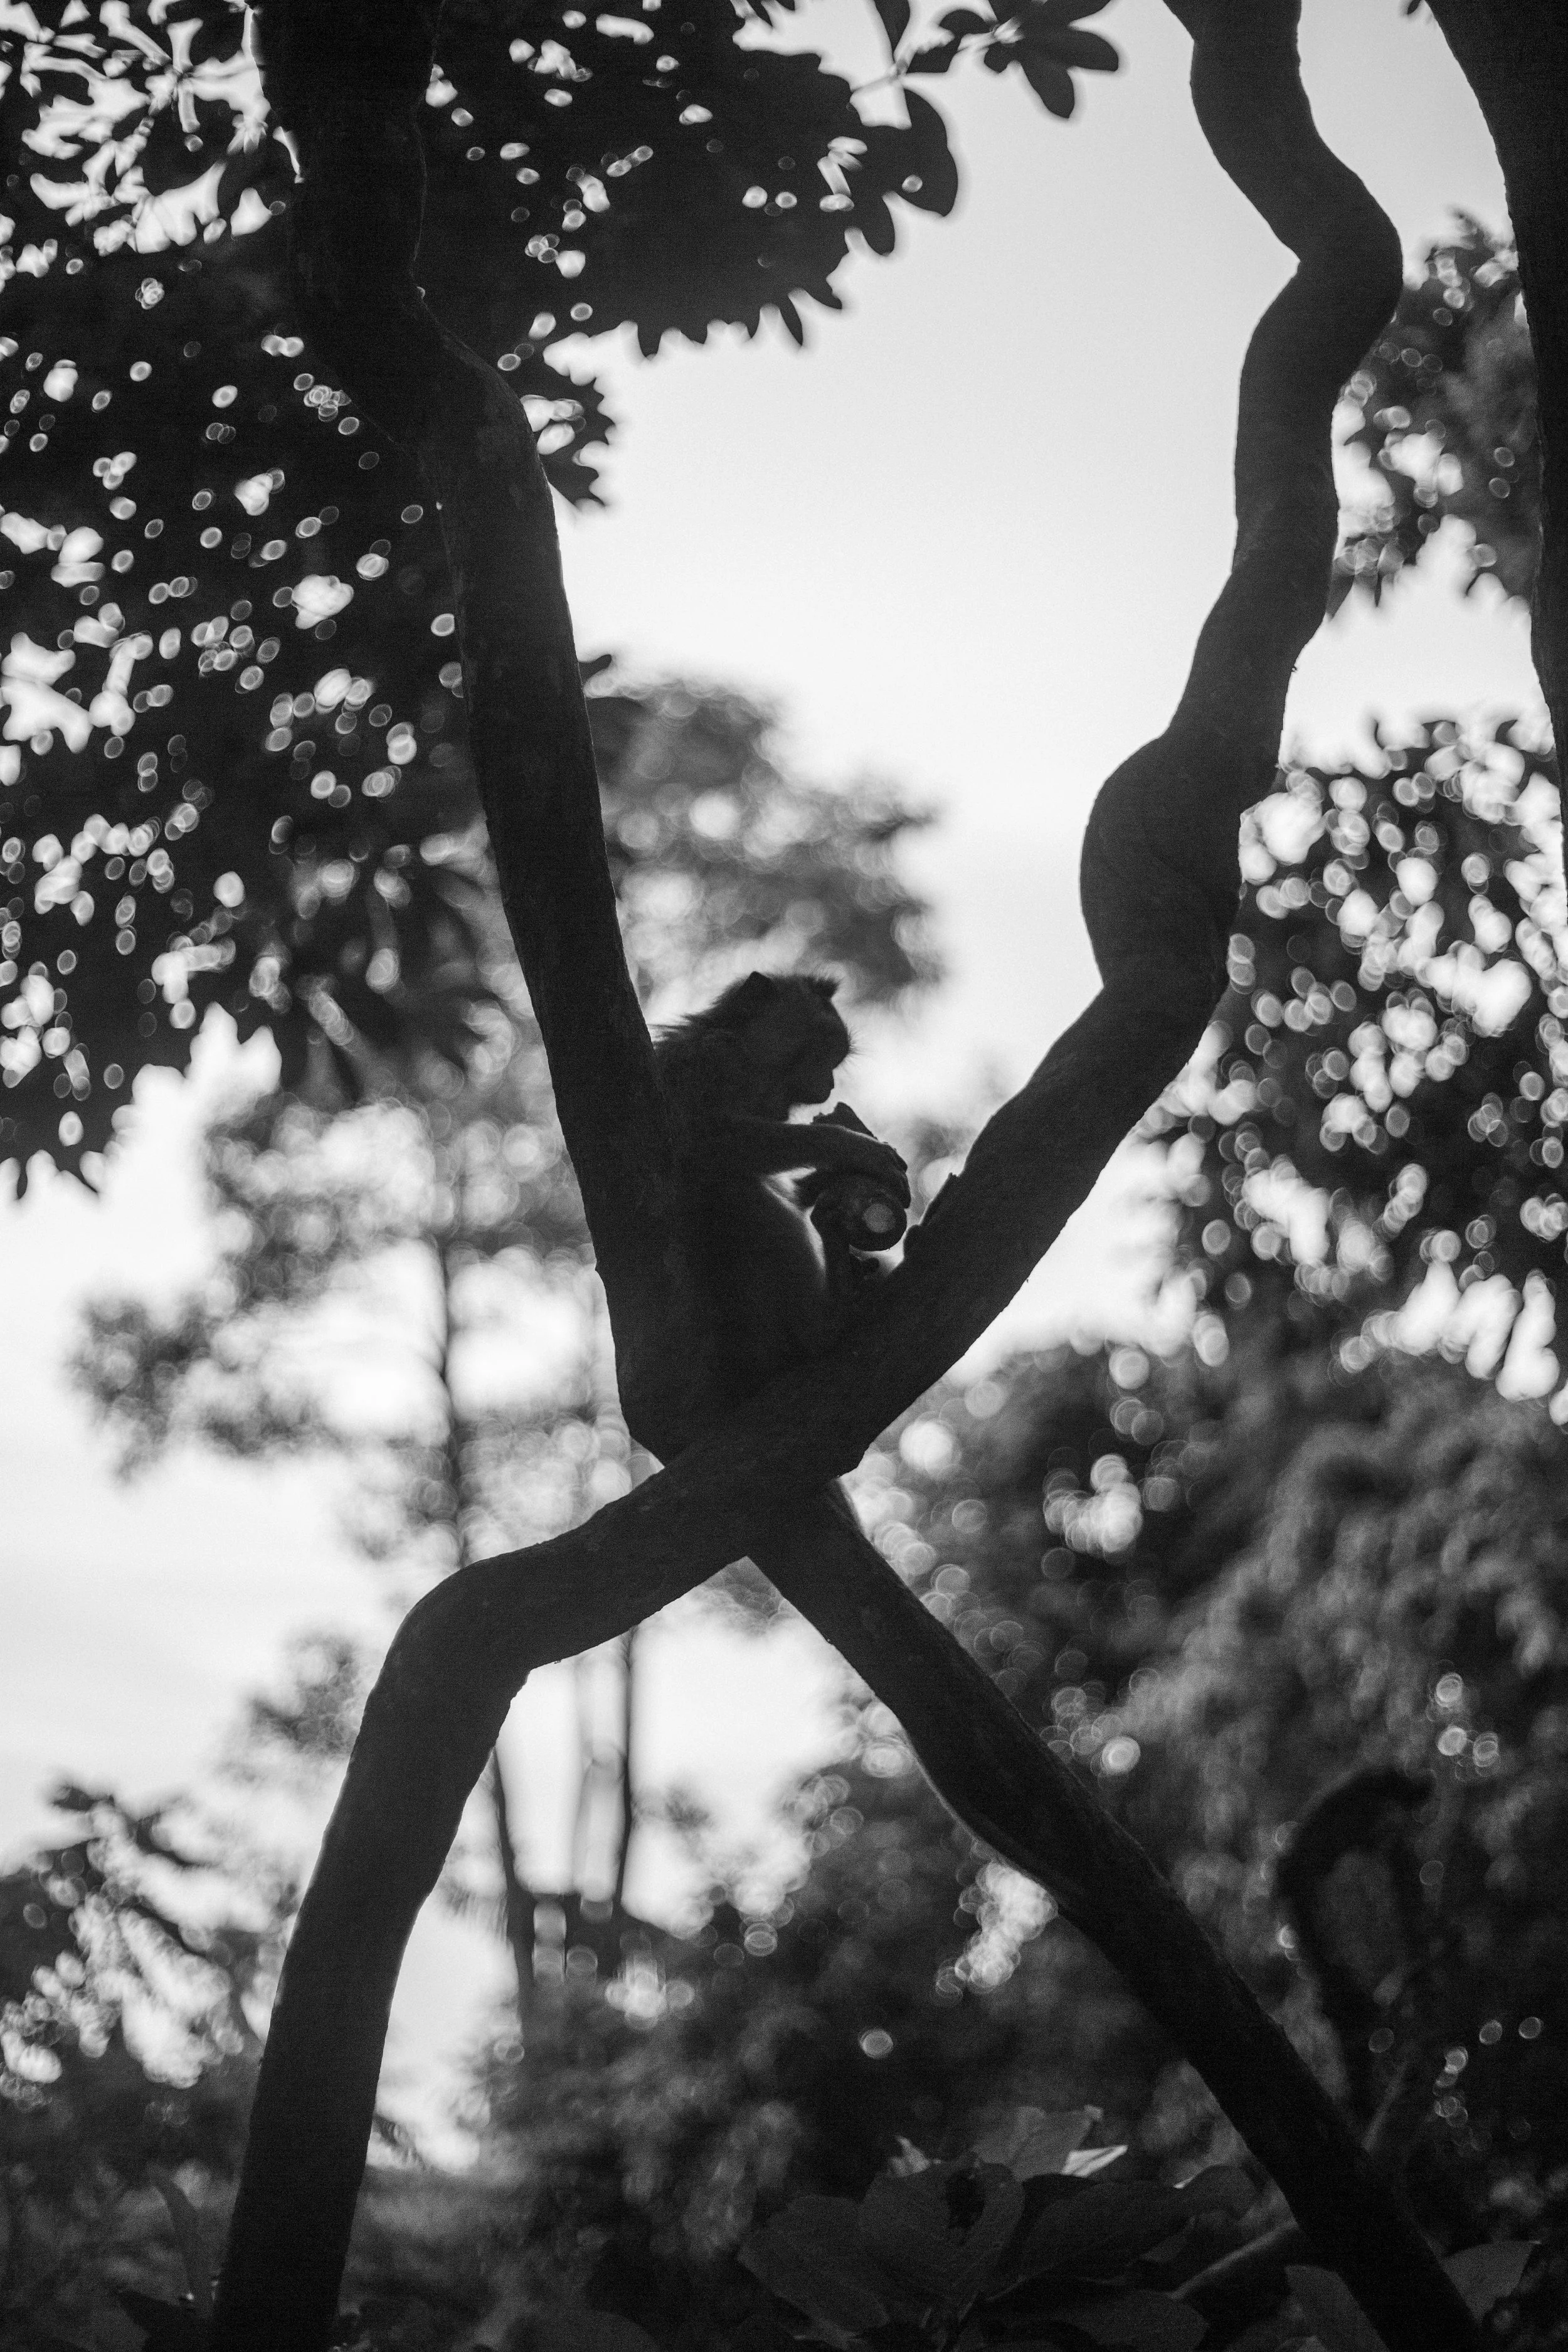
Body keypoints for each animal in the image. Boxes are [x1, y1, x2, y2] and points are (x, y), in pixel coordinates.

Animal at [653, 971, 910, 1408]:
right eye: (817, 1054)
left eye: (833, 1060)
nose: (828, 1085)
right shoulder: (712, 1064)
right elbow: (709, 1142)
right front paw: (855, 1148)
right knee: (731, 1190)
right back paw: (824, 1325)